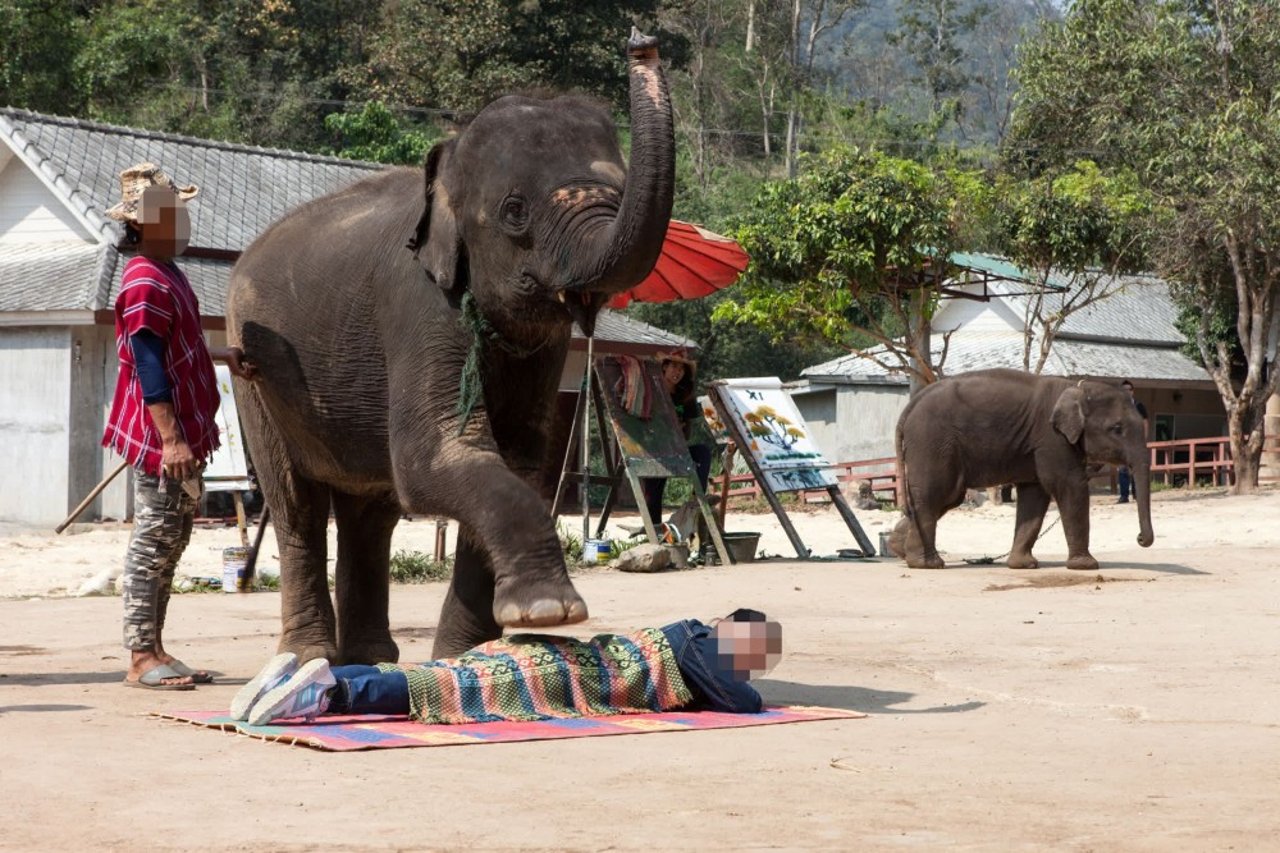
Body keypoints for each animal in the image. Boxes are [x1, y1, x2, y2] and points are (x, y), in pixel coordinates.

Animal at [227, 31, 680, 655]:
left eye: (617, 188)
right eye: (515, 212)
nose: (643, 43)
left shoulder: (542, 346)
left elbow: (516, 457)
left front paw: (467, 655)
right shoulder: (416, 304)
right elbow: (440, 454)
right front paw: (550, 612)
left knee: (372, 510)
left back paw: (372, 659)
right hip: (252, 374)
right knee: (297, 506)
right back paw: (309, 657)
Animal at [890, 368, 1152, 568]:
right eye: (1116, 429)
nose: (1139, 538)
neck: (1076, 387)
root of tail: (910, 406)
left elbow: (1034, 494)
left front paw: (1023, 565)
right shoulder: (1051, 439)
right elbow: (1069, 486)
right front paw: (1086, 566)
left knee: (944, 498)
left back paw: (900, 550)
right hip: (932, 442)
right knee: (937, 494)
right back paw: (927, 564)